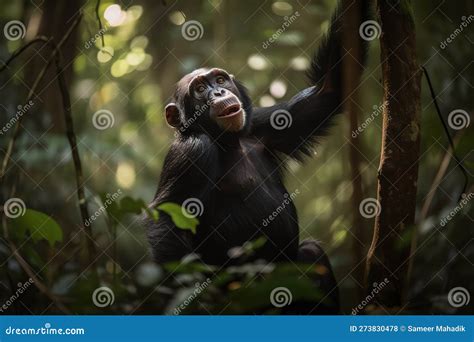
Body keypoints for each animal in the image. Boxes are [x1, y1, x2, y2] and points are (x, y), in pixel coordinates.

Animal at [146, 2, 368, 312]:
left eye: (220, 79)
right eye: (200, 89)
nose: (219, 92)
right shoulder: (191, 151)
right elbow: (169, 221)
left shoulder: (261, 125)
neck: (227, 142)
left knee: (312, 253)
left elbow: (328, 88)